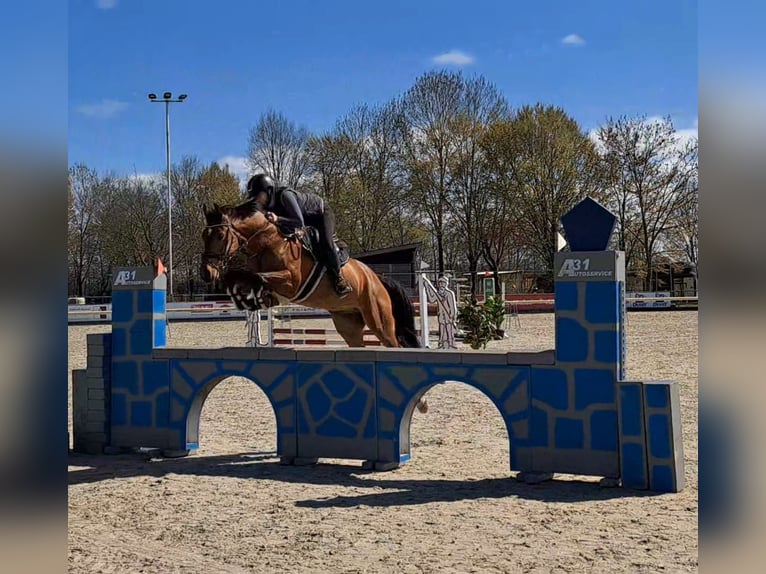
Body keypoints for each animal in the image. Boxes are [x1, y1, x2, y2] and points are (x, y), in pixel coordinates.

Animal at [198, 200, 428, 412]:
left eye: (220, 235)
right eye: (203, 236)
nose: (206, 273)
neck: (266, 242)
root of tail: (377, 278)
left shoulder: (292, 282)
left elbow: (256, 276)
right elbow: (245, 277)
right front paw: (244, 296)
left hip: (379, 321)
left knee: (396, 345)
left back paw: (421, 402)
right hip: (348, 325)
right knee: (360, 346)